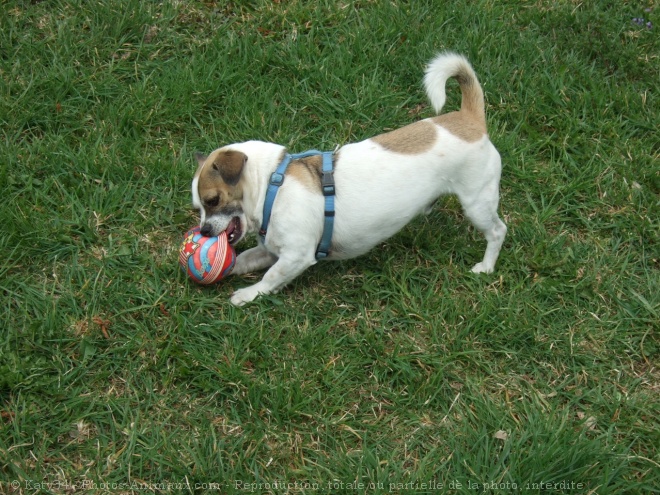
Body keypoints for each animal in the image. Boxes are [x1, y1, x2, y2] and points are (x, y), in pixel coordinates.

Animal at [191, 51, 506, 306]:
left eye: (212, 200)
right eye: (199, 208)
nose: (204, 232)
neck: (273, 185)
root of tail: (469, 119)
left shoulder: (295, 255)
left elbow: (270, 278)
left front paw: (248, 294)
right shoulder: (271, 251)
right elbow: (242, 259)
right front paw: (221, 269)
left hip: (477, 202)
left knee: (497, 231)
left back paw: (486, 266)